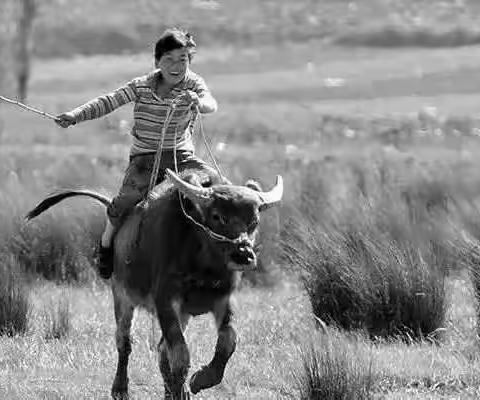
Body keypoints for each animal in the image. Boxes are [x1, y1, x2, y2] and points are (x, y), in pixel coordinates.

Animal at [26, 169, 284, 400]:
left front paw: (200, 380)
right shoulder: (165, 300)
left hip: (182, 313)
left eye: (254, 221)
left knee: (161, 350)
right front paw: (186, 387)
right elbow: (180, 354)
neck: (203, 263)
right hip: (121, 296)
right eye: (217, 216)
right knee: (124, 342)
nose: (244, 254)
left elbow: (227, 341)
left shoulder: (222, 299)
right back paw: (120, 388)